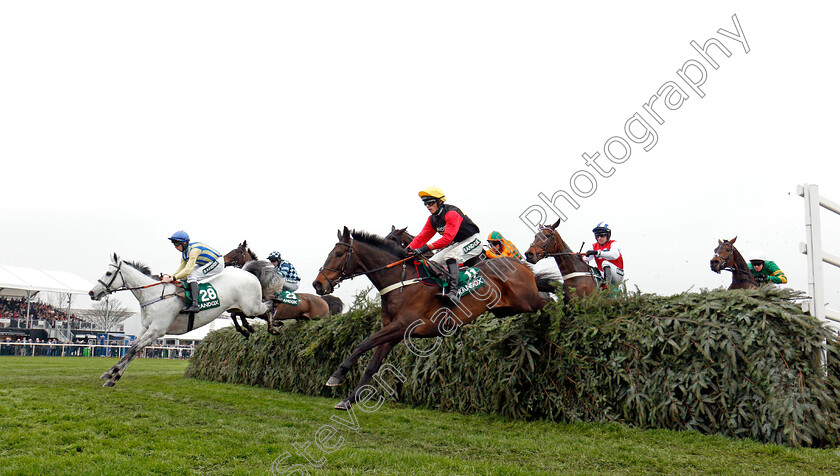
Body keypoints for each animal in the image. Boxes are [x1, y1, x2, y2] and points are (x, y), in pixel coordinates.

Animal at [89, 255, 268, 384]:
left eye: (108, 273)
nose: (92, 293)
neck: (154, 295)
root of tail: (248, 273)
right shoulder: (145, 328)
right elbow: (132, 349)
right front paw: (112, 373)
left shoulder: (157, 330)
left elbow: (134, 349)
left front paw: (113, 376)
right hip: (240, 307)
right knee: (239, 314)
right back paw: (248, 329)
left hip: (252, 306)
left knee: (268, 307)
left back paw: (271, 326)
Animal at [312, 226, 548, 410]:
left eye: (339, 254)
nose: (318, 284)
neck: (401, 282)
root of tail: (520, 265)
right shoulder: (393, 333)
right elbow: (372, 365)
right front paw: (348, 400)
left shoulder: (402, 325)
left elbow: (363, 343)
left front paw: (336, 375)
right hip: (506, 309)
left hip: (527, 300)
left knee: (549, 301)